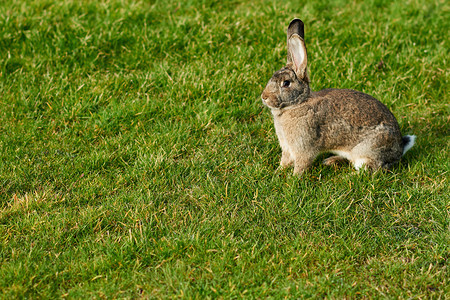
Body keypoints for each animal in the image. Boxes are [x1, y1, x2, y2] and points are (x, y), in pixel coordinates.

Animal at [262, 18, 416, 175]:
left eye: (286, 83)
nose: (264, 97)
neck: (298, 103)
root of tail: (400, 149)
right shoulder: (287, 147)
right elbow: (285, 160)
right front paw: (278, 171)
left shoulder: (303, 147)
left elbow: (301, 164)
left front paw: (293, 177)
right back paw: (330, 160)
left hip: (368, 151)